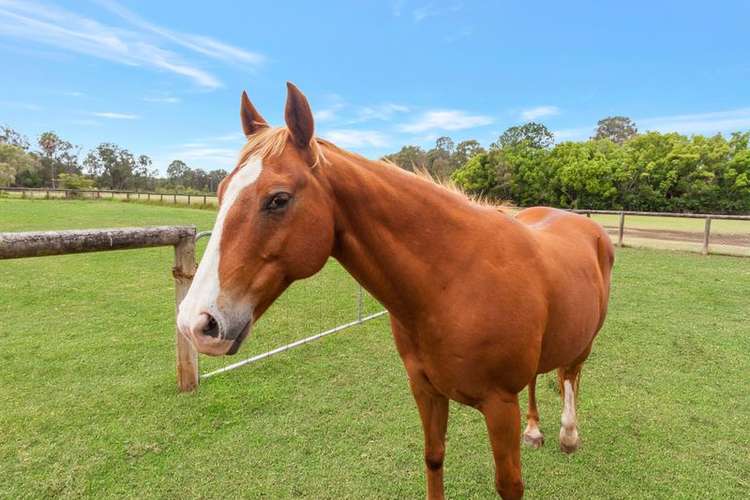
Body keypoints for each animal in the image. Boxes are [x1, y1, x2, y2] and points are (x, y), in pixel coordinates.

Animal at [178, 82, 616, 496]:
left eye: (278, 199)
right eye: (221, 193)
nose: (196, 323)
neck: (454, 280)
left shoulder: (499, 405)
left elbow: (509, 484)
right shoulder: (426, 391)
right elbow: (434, 459)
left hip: (587, 339)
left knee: (572, 373)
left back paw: (568, 434)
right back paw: (535, 430)